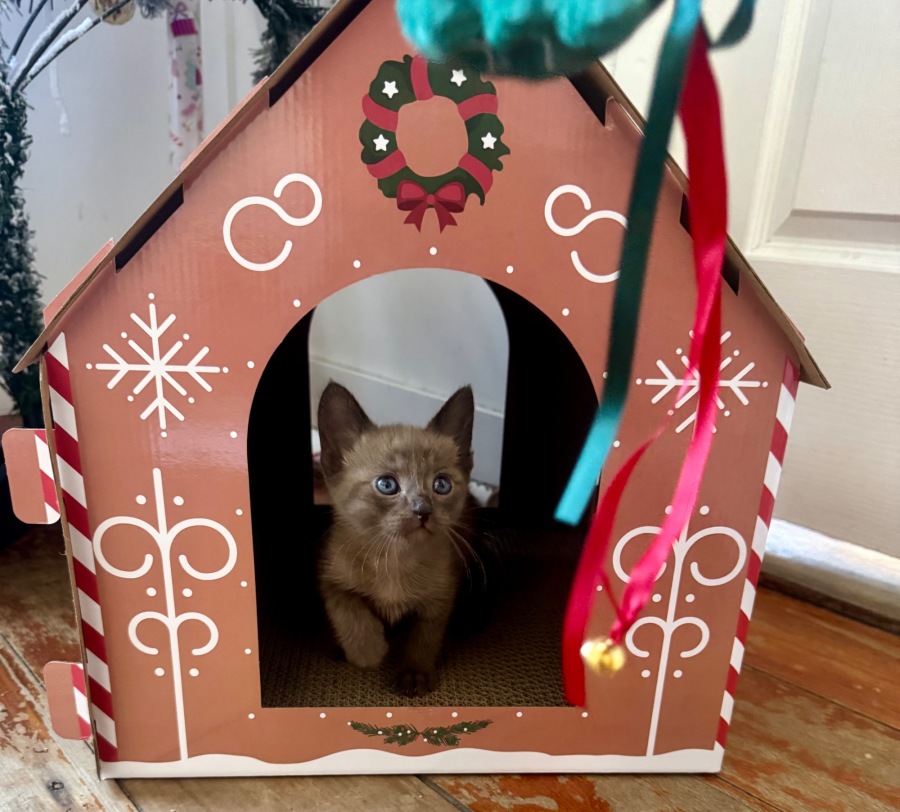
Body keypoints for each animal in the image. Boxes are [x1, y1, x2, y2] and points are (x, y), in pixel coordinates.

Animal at [316, 381, 477, 697]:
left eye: (442, 485)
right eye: (387, 485)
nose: (423, 510)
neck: (395, 558)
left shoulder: (440, 597)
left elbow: (424, 638)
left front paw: (414, 674)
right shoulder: (330, 575)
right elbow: (347, 608)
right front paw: (367, 652)